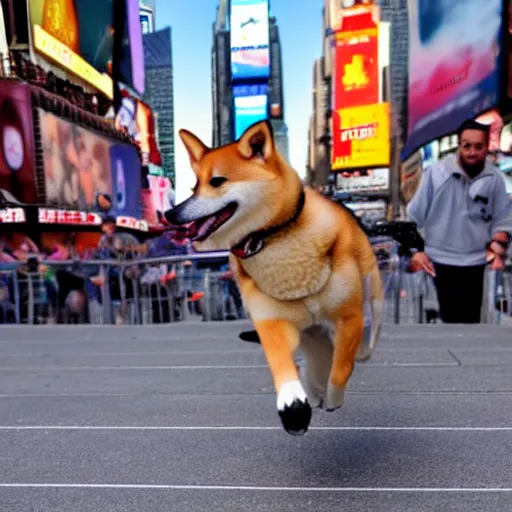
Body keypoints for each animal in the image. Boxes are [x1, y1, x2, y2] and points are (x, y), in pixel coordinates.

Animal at [166, 120, 382, 436]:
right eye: (194, 186)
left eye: (216, 181)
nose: (170, 213)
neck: (275, 241)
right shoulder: (271, 320)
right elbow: (283, 364)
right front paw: (294, 407)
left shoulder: (349, 317)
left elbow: (341, 368)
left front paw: (333, 396)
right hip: (311, 332)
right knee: (317, 358)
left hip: (370, 303)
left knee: (360, 344)